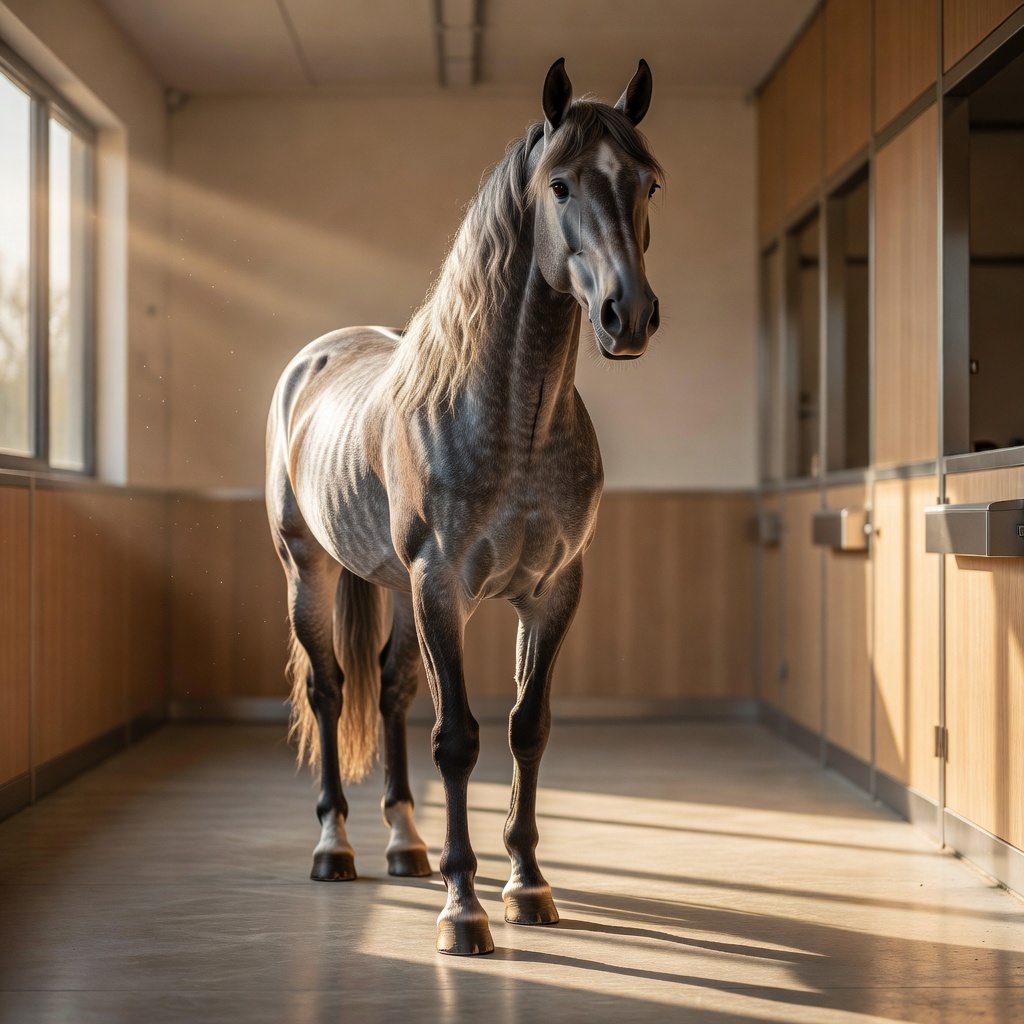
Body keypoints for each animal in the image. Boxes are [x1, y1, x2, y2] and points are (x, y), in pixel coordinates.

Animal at [266, 57, 663, 956]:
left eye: (650, 182)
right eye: (559, 184)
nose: (629, 315)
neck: (515, 420)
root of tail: (314, 358)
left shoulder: (551, 592)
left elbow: (526, 727)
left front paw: (527, 884)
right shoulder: (441, 585)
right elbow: (458, 739)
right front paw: (463, 907)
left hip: (394, 590)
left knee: (390, 687)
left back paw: (405, 844)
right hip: (310, 570)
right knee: (332, 689)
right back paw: (336, 847)